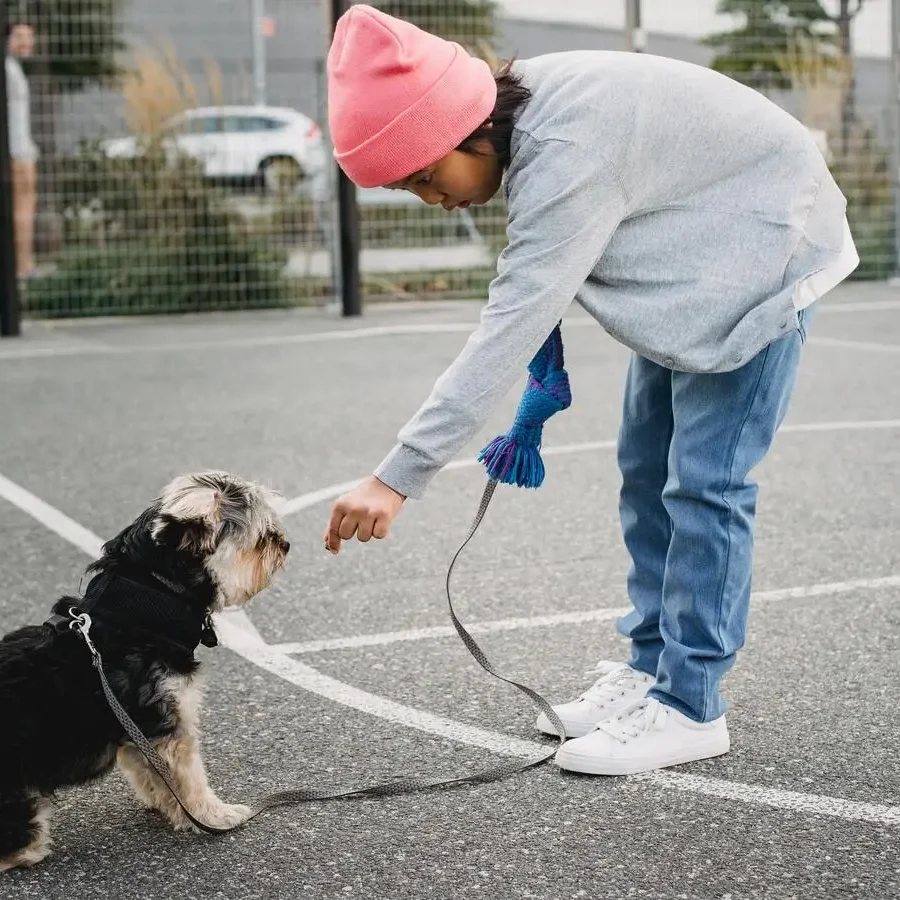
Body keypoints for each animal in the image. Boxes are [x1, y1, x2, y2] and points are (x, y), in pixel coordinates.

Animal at [0, 472, 290, 872]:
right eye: (262, 536)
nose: (286, 545)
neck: (145, 606)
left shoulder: (141, 732)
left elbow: (151, 773)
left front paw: (169, 806)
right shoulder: (169, 725)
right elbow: (190, 779)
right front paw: (212, 815)